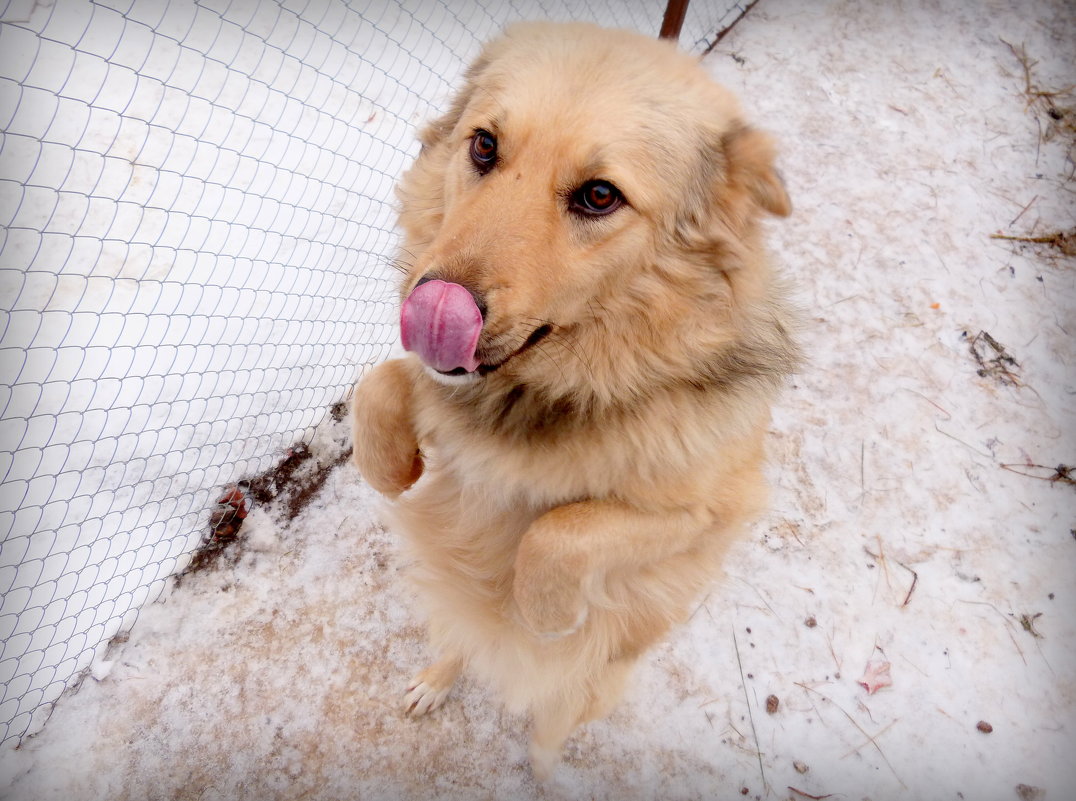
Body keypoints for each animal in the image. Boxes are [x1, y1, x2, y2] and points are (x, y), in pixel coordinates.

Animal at [348, 20, 796, 775]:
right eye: (484, 146)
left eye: (599, 196)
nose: (431, 307)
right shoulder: (451, 412)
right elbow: (375, 385)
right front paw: (389, 467)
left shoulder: (705, 515)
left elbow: (558, 532)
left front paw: (547, 612)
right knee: (458, 642)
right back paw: (436, 679)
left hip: (593, 684)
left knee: (549, 726)